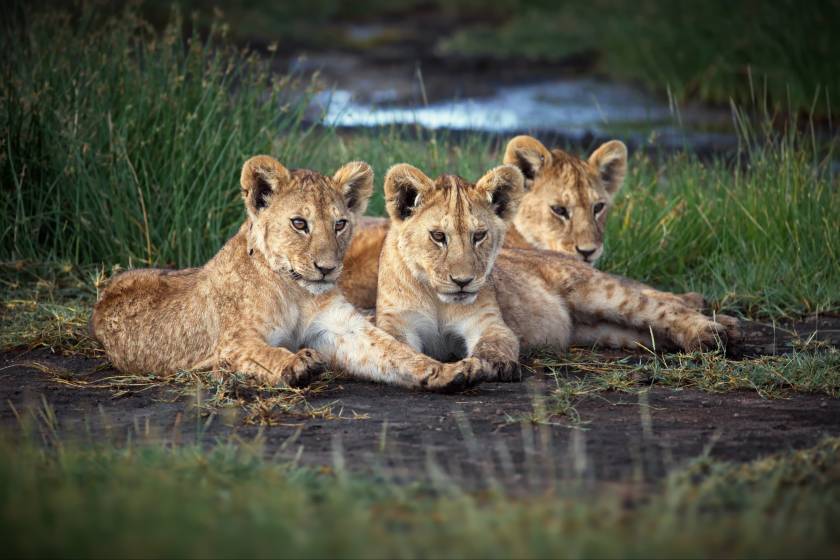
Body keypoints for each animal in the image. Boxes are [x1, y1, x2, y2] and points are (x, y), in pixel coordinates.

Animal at [90, 156, 483, 391]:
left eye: (340, 224)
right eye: (299, 223)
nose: (326, 268)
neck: (296, 290)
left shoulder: (342, 328)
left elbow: (394, 351)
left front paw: (445, 371)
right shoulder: (231, 343)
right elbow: (266, 354)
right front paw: (298, 364)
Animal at [373, 163, 740, 379]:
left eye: (479, 236)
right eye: (438, 236)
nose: (463, 282)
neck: (438, 297)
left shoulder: (488, 322)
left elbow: (494, 343)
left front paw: (488, 365)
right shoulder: (397, 323)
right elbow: (396, 346)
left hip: (599, 293)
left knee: (662, 307)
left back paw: (713, 334)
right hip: (607, 330)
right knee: (654, 328)